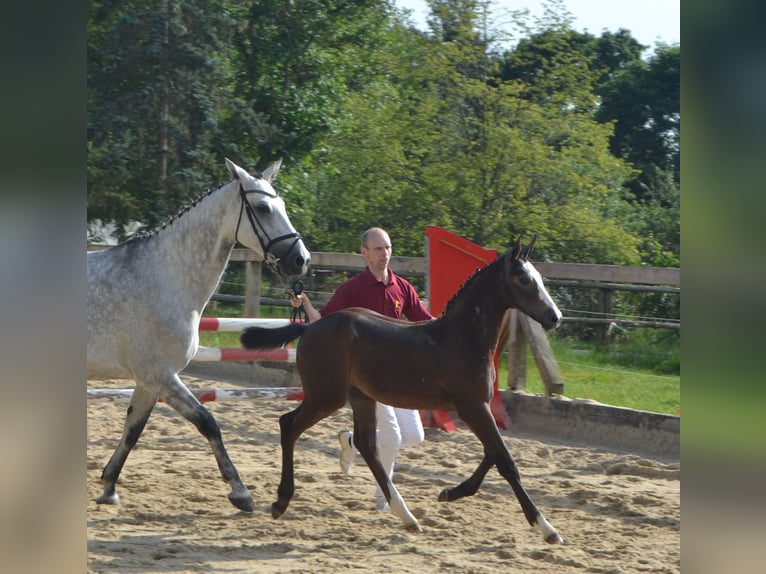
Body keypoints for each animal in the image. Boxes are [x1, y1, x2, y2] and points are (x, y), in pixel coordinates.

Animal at [87, 158, 310, 513]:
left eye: (284, 205)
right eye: (262, 208)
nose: (300, 260)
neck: (165, 277)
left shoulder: (149, 381)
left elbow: (133, 430)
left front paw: (109, 487)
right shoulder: (161, 375)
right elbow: (208, 422)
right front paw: (240, 491)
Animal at [240, 235, 565, 543]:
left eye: (539, 277)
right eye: (523, 278)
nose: (555, 318)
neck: (462, 338)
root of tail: (310, 328)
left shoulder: (477, 408)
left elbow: (492, 454)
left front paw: (450, 492)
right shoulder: (472, 407)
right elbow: (505, 460)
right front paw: (546, 528)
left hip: (361, 397)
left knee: (365, 444)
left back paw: (406, 515)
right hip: (326, 396)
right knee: (289, 425)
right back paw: (281, 501)